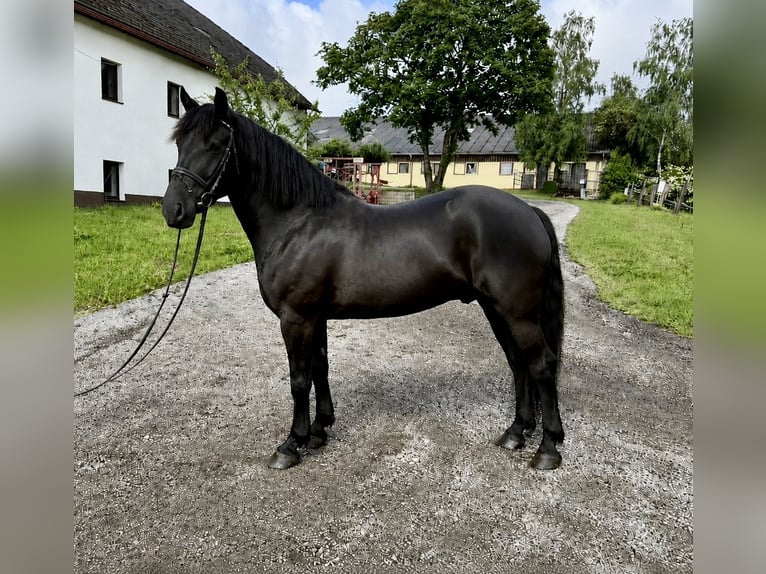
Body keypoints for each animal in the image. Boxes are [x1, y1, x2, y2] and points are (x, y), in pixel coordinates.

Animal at [163, 87, 565, 470]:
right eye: (180, 144)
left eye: (216, 144)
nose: (174, 210)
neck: (299, 223)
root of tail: (529, 211)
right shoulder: (316, 317)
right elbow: (320, 368)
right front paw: (319, 430)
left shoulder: (296, 318)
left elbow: (298, 379)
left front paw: (291, 444)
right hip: (495, 308)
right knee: (518, 363)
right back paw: (516, 432)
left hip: (517, 313)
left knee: (541, 365)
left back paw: (547, 448)